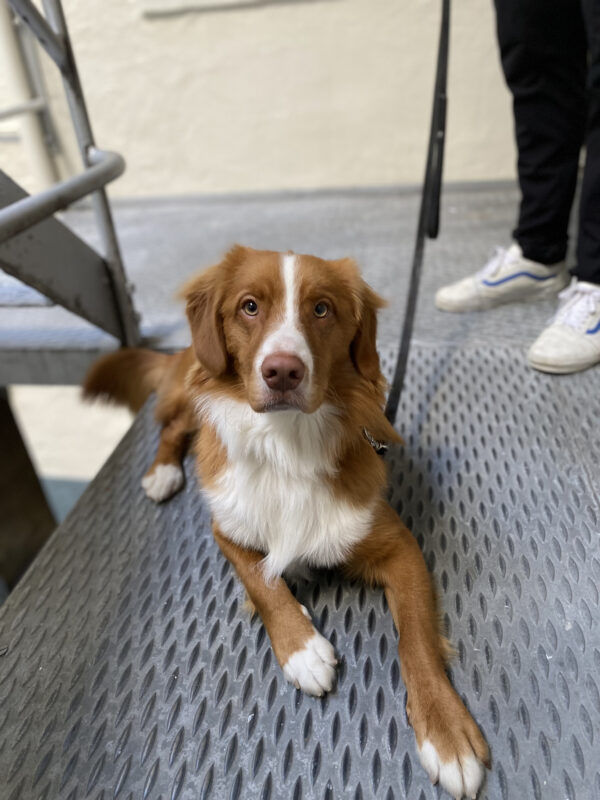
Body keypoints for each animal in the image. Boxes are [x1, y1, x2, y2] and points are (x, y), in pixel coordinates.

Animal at [83, 247, 488, 796]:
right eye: (249, 306)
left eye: (321, 309)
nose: (282, 371)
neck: (286, 444)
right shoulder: (226, 527)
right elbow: (262, 580)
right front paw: (303, 650)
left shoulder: (398, 546)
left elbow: (417, 639)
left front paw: (446, 732)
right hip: (191, 390)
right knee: (174, 427)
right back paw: (163, 472)